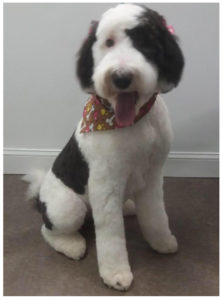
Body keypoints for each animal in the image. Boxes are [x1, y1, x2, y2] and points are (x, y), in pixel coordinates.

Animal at [24, 4, 185, 290]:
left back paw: (129, 208)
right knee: (48, 229)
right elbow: (111, 236)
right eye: (108, 42)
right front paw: (116, 274)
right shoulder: (105, 182)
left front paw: (162, 241)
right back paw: (72, 245)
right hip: (68, 208)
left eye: (146, 43)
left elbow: (156, 214)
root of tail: (40, 196)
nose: (121, 77)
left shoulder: (153, 174)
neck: (133, 121)